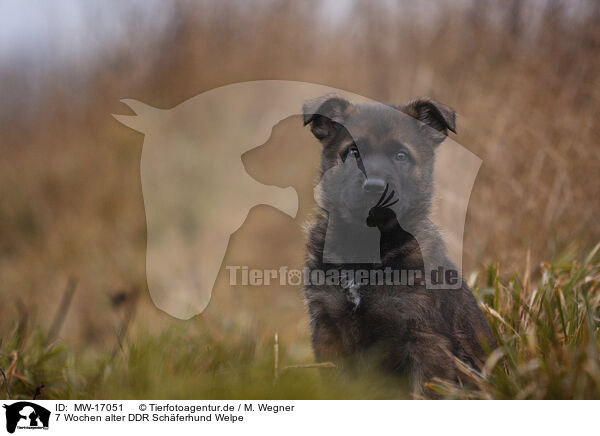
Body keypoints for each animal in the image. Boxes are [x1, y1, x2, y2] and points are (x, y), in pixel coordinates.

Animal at [302, 95, 494, 396]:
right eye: (353, 152)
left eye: (401, 156)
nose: (374, 187)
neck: (365, 243)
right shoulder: (328, 329)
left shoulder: (423, 338)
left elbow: (424, 393)